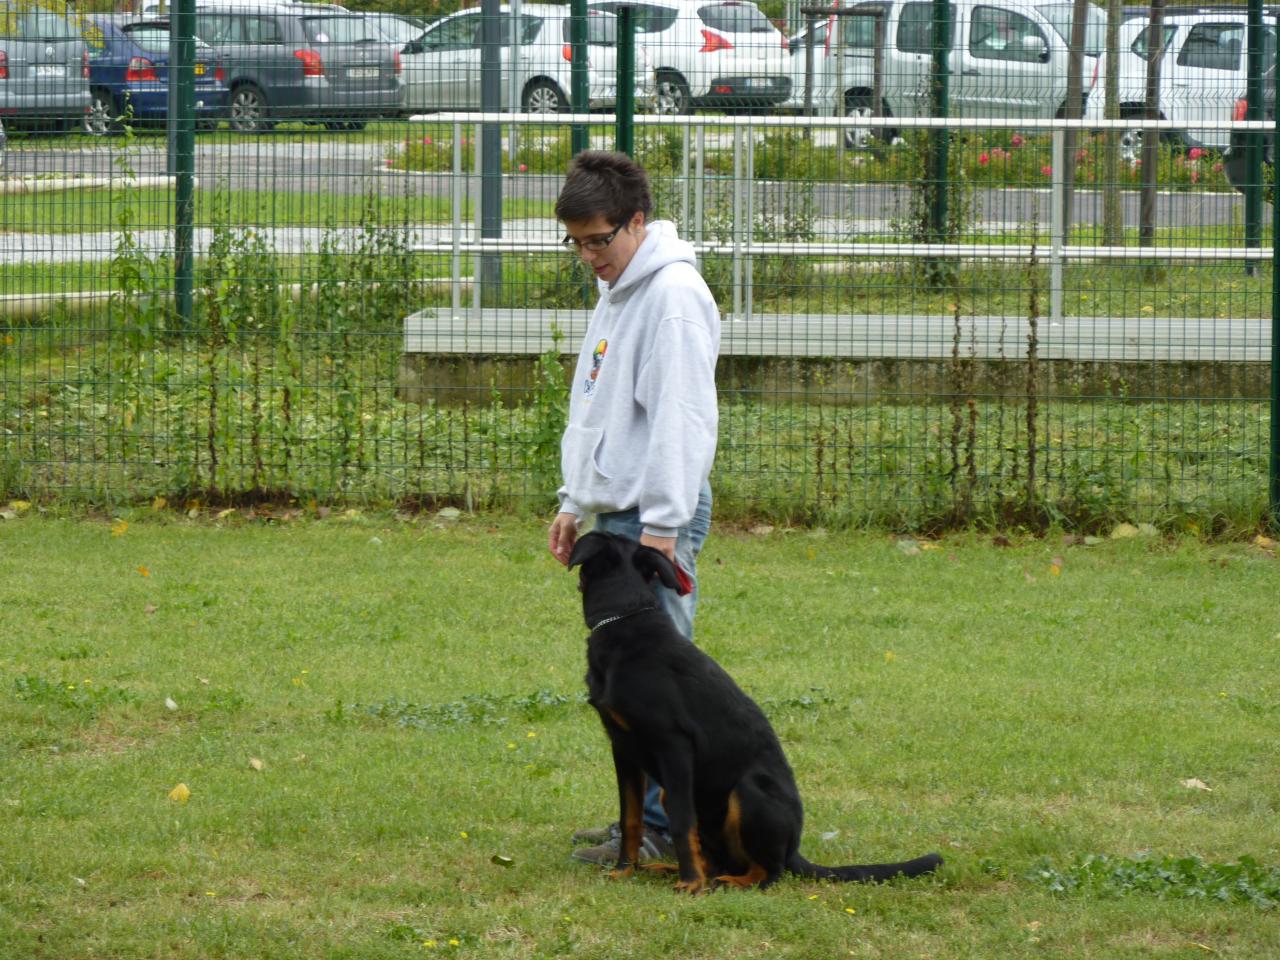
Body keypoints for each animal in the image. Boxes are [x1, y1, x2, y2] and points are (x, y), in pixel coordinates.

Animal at [570, 535, 942, 896]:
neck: (626, 619)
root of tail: (794, 851)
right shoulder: (623, 748)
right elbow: (631, 818)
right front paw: (623, 871)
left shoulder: (674, 746)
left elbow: (680, 822)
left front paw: (690, 883)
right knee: (719, 859)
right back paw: (677, 870)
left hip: (747, 793)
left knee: (768, 872)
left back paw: (723, 882)